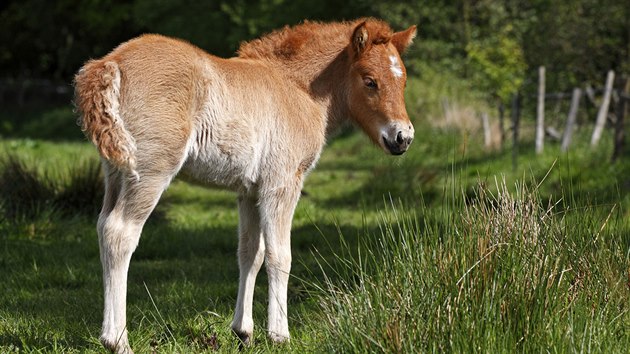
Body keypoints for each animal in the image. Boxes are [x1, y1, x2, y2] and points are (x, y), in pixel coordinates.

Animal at [74, 18, 418, 352]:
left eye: (403, 82)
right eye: (370, 80)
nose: (403, 137)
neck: (297, 90)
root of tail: (111, 63)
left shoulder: (250, 191)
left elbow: (251, 253)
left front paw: (243, 332)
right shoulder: (282, 184)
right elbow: (280, 256)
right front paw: (279, 335)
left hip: (116, 171)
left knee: (103, 227)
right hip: (151, 171)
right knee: (120, 233)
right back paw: (117, 341)